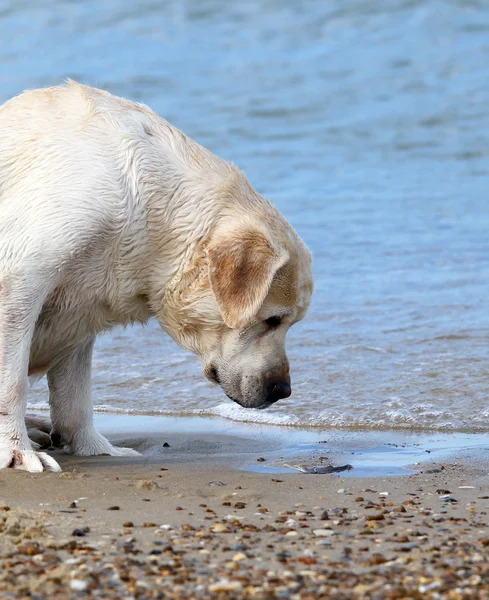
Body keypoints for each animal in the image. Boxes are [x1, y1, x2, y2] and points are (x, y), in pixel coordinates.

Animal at [0, 81, 312, 474]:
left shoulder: (81, 305)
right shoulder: (20, 281)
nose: (282, 389)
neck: (149, 210)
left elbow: (75, 395)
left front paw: (95, 448)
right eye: (272, 320)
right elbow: (12, 383)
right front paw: (16, 450)